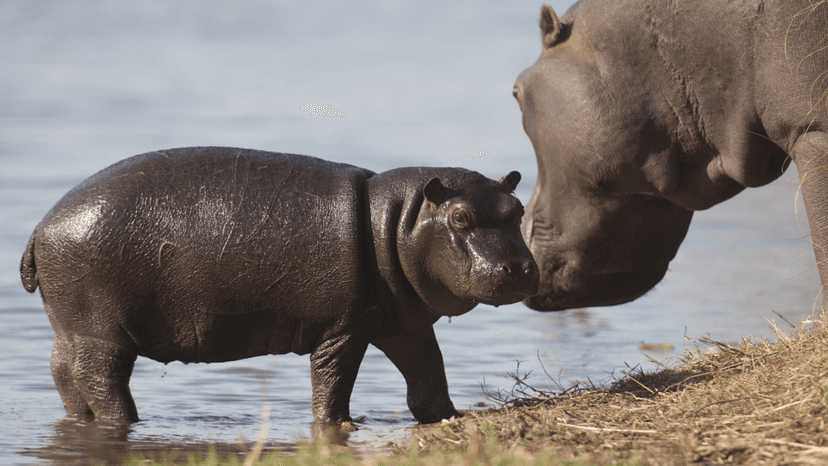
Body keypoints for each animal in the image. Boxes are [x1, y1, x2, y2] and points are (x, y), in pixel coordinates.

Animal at [20, 147, 538, 424]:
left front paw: (450, 416)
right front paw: (339, 424)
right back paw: (128, 420)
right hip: (99, 331)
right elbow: (333, 379)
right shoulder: (344, 328)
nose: (519, 268)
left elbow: (428, 372)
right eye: (460, 217)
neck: (397, 223)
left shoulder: (402, 323)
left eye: (517, 209)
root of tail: (41, 227)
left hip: (71, 326)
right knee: (101, 377)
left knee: (62, 372)